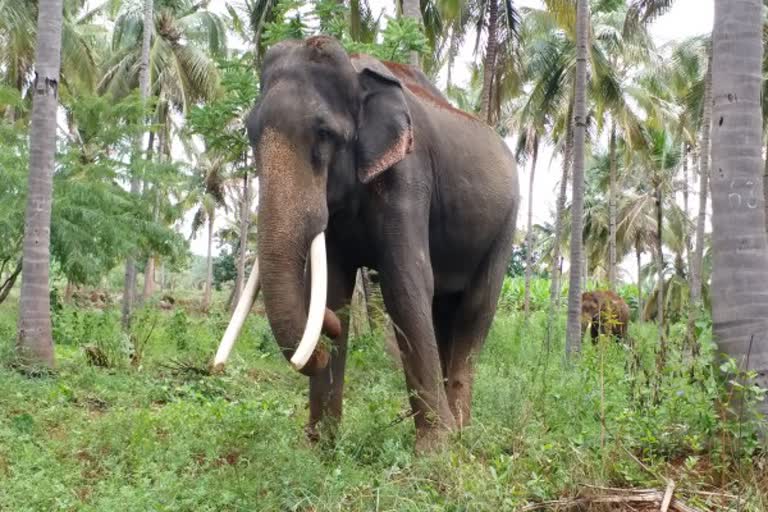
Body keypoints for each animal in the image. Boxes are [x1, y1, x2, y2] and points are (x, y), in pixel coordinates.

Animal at [216, 36, 520, 452]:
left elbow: (405, 284)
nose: (326, 336)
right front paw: (320, 447)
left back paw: (460, 432)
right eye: (249, 132)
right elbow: (333, 289)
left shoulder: (408, 175)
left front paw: (434, 451)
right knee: (444, 309)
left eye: (324, 133)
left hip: (506, 223)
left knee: (476, 309)